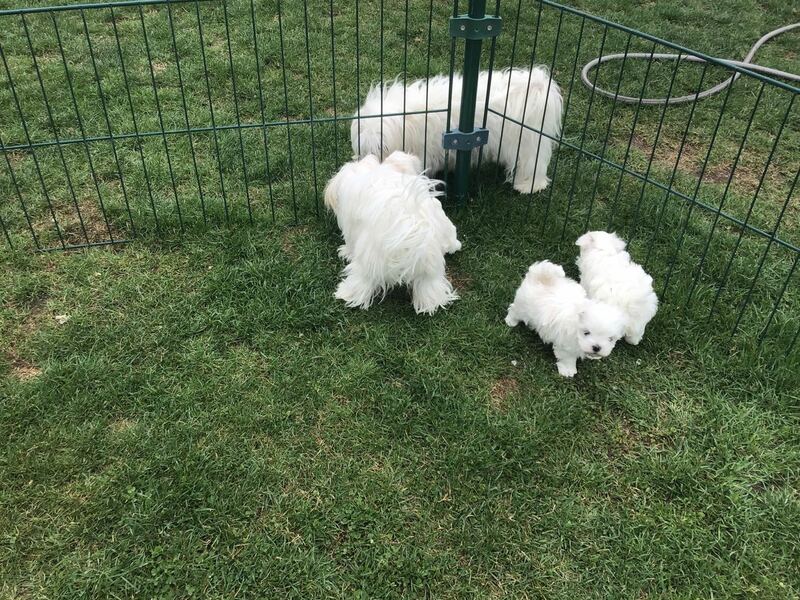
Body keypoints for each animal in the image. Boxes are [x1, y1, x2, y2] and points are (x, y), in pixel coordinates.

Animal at [324, 151, 461, 315]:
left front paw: (345, 252)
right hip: (430, 270)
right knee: (431, 290)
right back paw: (429, 305)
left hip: (368, 265)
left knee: (360, 283)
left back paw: (344, 294)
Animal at [351, 67, 563, 194]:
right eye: (363, 148)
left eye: (381, 148)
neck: (408, 119)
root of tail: (535, 87)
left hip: (526, 142)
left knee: (532, 162)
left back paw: (529, 186)